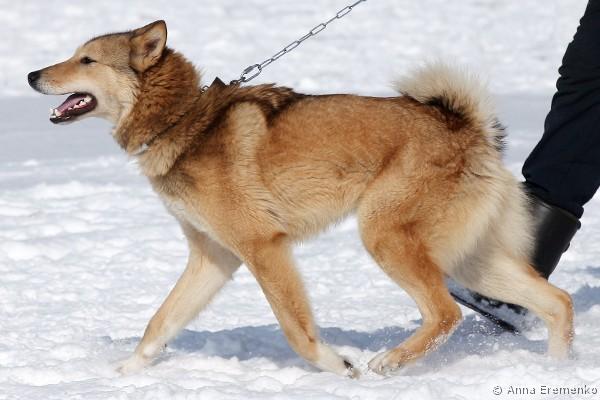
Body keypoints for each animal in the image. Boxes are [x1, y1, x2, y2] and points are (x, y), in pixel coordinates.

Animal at [27, 20, 574, 377]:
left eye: (86, 60)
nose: (32, 75)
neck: (181, 121)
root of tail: (464, 127)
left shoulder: (263, 247)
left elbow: (297, 331)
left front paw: (339, 364)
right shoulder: (214, 256)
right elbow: (159, 322)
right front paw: (124, 374)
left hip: (385, 237)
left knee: (446, 313)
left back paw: (389, 361)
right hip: (468, 259)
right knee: (557, 302)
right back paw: (556, 371)